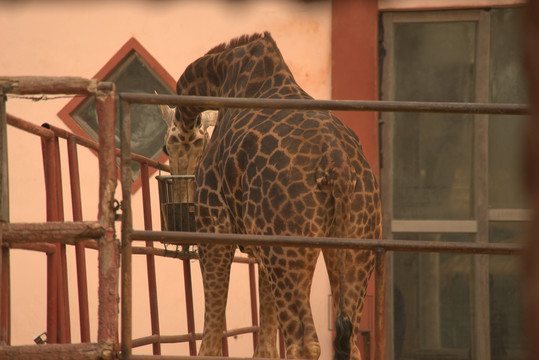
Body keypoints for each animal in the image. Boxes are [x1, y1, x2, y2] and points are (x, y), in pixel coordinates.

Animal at [171, 32, 382, 358]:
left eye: (169, 146)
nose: (181, 195)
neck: (224, 73)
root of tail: (338, 165)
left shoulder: (214, 227)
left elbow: (210, 341)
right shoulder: (260, 246)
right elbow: (266, 345)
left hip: (287, 250)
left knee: (305, 343)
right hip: (355, 244)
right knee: (352, 343)